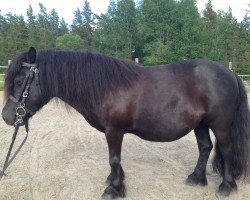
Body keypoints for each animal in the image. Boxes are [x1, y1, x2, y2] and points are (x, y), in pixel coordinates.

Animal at [1, 47, 250, 199]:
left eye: (20, 81)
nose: (7, 116)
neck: (105, 87)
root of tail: (229, 73)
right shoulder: (113, 132)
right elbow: (115, 161)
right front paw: (115, 181)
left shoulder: (114, 130)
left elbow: (113, 159)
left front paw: (113, 189)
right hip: (200, 124)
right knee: (205, 147)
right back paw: (196, 179)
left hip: (220, 125)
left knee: (226, 151)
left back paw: (226, 187)